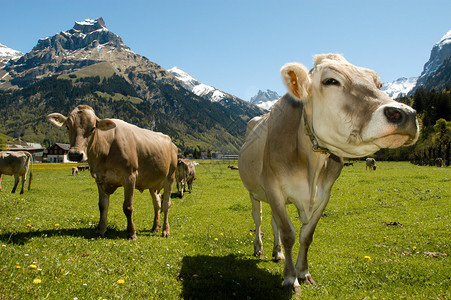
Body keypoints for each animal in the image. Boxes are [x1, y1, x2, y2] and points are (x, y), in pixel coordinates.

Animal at [47, 105, 178, 239]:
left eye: (92, 128)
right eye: (67, 127)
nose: (75, 154)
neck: (107, 148)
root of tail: (172, 143)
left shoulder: (130, 176)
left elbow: (128, 207)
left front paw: (132, 233)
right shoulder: (99, 178)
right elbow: (102, 206)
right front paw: (100, 230)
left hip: (170, 177)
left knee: (166, 204)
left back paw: (165, 230)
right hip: (153, 183)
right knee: (157, 204)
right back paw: (155, 227)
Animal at [240, 54, 420, 292]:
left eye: (379, 84)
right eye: (331, 81)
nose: (406, 113)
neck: (312, 164)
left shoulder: (325, 193)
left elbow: (306, 235)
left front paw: (304, 273)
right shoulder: (273, 188)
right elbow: (289, 234)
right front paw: (290, 278)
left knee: (273, 222)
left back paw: (277, 253)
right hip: (255, 192)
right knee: (258, 218)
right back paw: (259, 249)